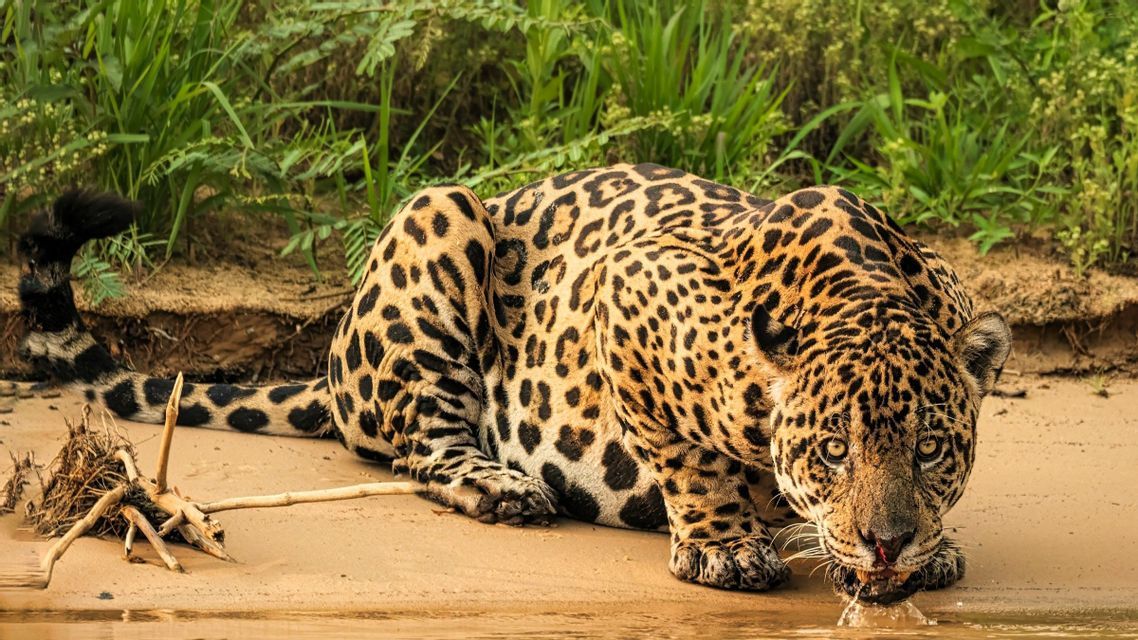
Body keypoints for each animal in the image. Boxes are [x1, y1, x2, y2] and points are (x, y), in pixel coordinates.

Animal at [17, 163, 1010, 603]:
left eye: (931, 449)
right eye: (832, 451)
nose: (886, 543)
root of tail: (333, 360)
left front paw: (930, 548)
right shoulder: (629, 285)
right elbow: (689, 458)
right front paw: (726, 546)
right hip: (439, 217)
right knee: (423, 447)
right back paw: (504, 486)